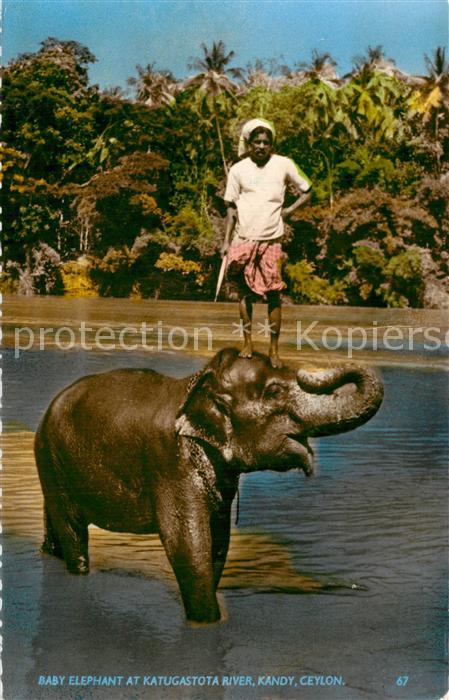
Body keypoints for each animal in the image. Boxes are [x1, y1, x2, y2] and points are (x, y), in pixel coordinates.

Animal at [35, 347, 383, 624]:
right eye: (273, 392)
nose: (307, 371)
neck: (199, 383)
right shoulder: (171, 463)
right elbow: (188, 545)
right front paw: (208, 625)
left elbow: (218, 542)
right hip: (53, 459)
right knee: (73, 532)